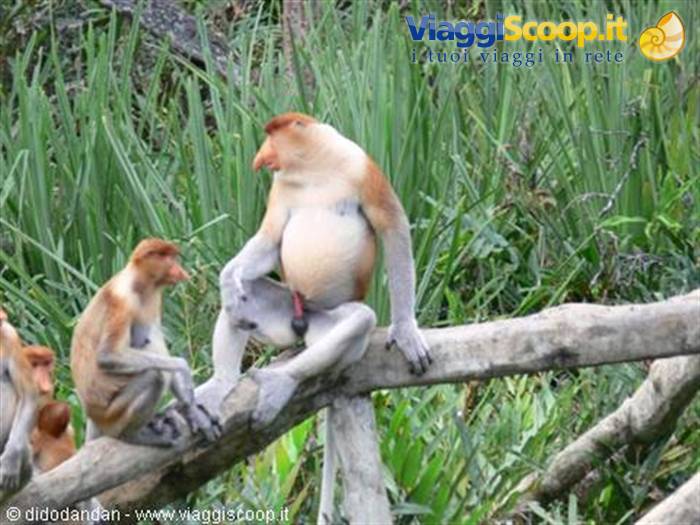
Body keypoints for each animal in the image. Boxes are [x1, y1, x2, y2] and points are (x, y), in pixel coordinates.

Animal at [70, 238, 221, 447]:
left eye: (173, 257)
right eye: (166, 257)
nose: (179, 269)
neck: (138, 282)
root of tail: (92, 416)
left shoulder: (154, 298)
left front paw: (193, 413)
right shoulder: (123, 301)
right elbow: (108, 356)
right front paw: (182, 366)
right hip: (112, 415)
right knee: (154, 375)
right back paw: (134, 435)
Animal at [211, 112, 432, 426]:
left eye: (271, 137)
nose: (259, 157)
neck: (314, 168)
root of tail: (301, 323)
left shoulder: (363, 168)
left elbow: (393, 228)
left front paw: (405, 332)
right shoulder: (280, 186)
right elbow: (270, 239)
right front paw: (228, 279)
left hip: (328, 322)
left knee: (359, 319)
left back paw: (280, 382)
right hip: (287, 305)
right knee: (245, 293)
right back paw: (221, 381)